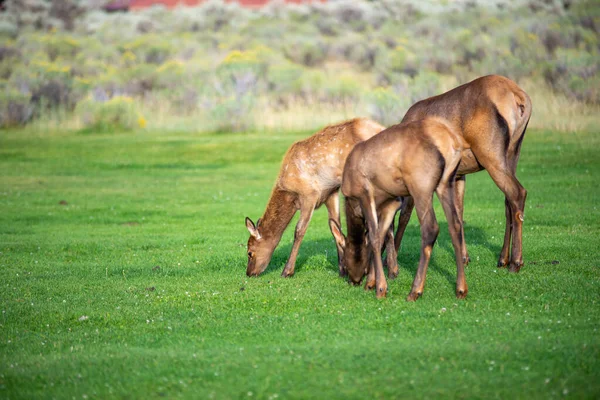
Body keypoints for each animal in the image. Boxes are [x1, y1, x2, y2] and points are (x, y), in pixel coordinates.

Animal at [244, 117, 384, 276]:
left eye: (250, 252)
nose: (249, 273)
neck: (289, 191)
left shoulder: (309, 194)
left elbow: (299, 230)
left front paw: (287, 271)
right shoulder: (330, 192)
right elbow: (335, 225)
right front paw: (342, 268)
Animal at [330, 119, 466, 300]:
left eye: (344, 261)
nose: (354, 280)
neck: (352, 203)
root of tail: (450, 143)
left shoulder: (365, 193)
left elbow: (374, 236)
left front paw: (380, 288)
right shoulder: (392, 201)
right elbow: (380, 237)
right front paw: (371, 283)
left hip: (420, 185)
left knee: (431, 228)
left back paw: (415, 291)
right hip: (447, 181)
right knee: (455, 224)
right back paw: (461, 289)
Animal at [394, 76, 536, 272]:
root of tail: (517, 95)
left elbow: (405, 215)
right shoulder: (459, 176)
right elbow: (459, 214)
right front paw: (464, 257)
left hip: (492, 160)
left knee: (518, 193)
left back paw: (515, 262)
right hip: (512, 156)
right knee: (509, 202)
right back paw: (503, 259)